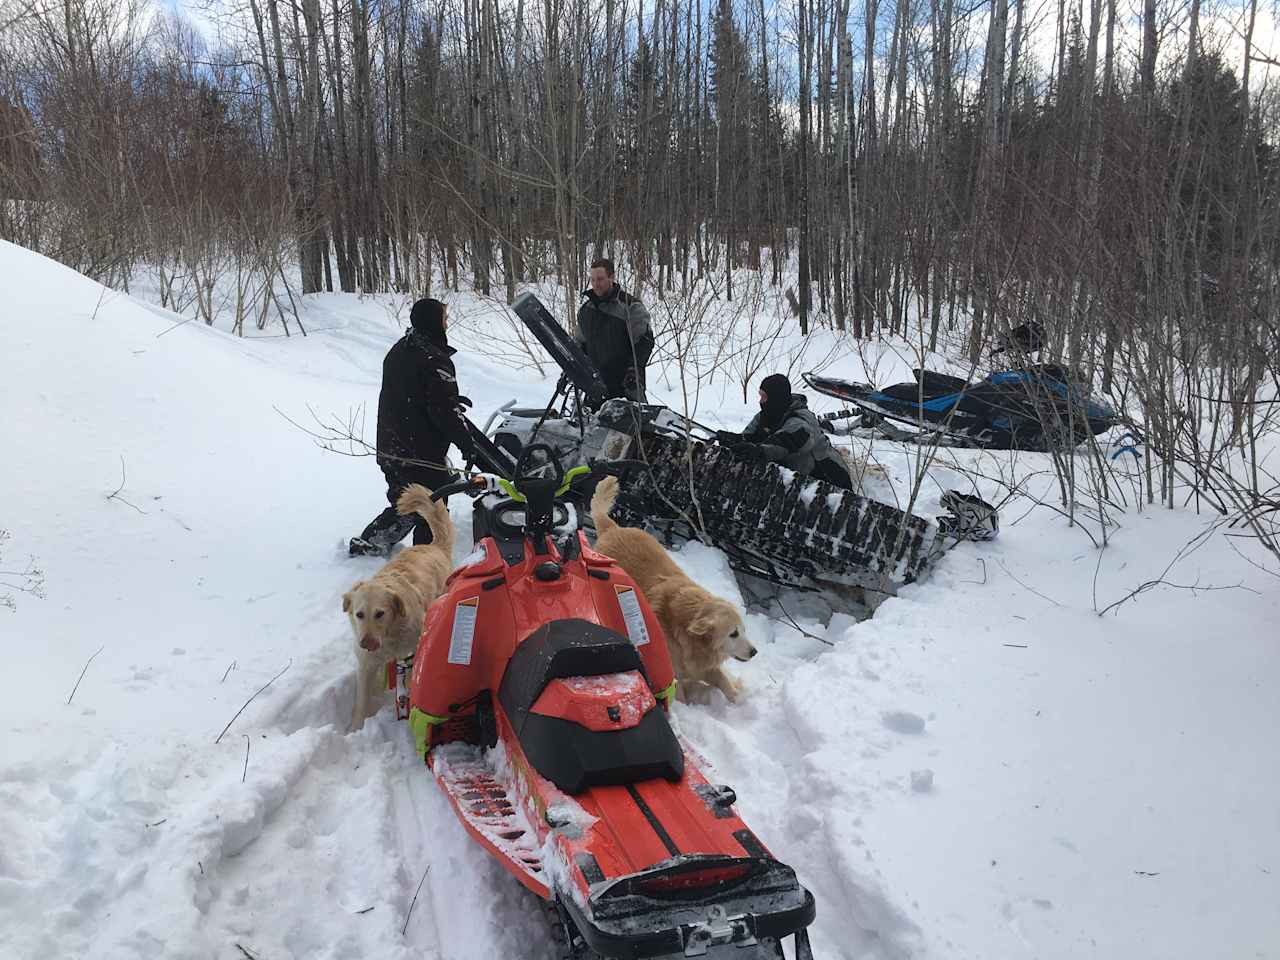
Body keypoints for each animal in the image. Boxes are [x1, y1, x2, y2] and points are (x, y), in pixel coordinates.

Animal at [343, 483, 458, 732]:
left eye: (380, 613)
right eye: (359, 614)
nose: (367, 643)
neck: (389, 637)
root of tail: (432, 546)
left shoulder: (413, 652)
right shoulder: (366, 664)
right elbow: (361, 701)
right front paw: (355, 728)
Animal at [591, 478, 757, 701]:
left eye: (744, 630)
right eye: (733, 634)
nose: (754, 652)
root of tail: (613, 528)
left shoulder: (703, 667)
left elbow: (723, 681)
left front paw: (737, 700)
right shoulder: (672, 672)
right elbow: (679, 695)